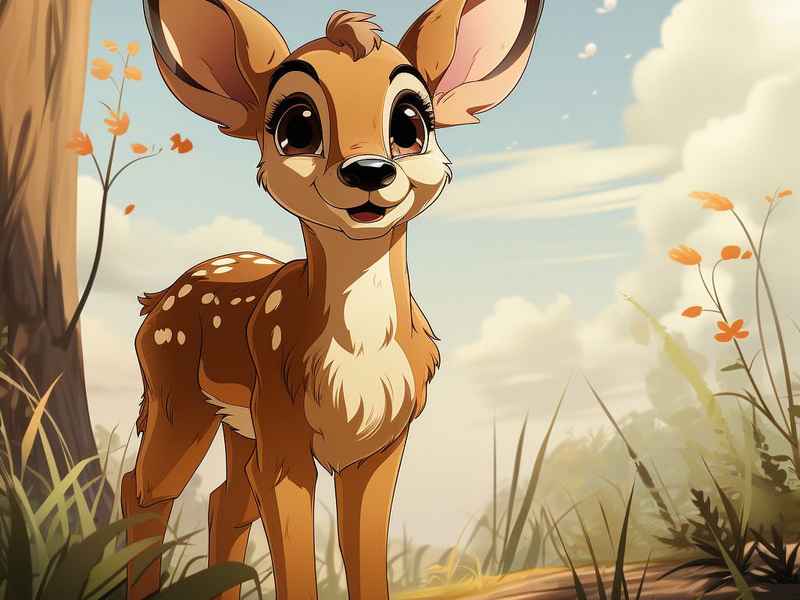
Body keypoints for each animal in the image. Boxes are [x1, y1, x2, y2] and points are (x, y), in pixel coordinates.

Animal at [121, 1, 544, 598]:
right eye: (297, 125)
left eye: (411, 123)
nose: (369, 170)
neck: (359, 355)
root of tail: (155, 298)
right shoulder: (283, 430)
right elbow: (296, 550)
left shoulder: (383, 440)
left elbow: (364, 546)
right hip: (176, 396)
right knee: (142, 489)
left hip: (237, 423)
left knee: (223, 501)